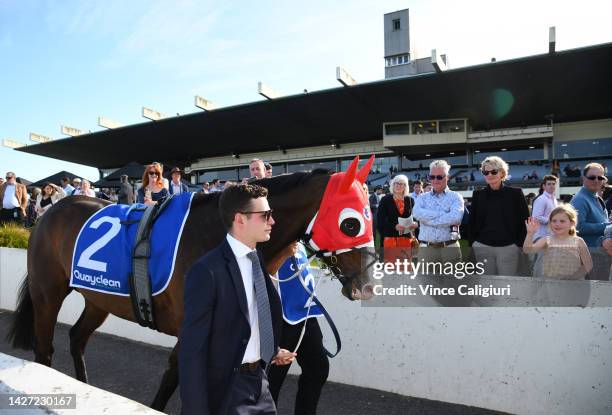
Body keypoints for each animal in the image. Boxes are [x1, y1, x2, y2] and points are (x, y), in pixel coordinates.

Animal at [7, 158, 376, 412]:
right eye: (351, 223)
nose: (368, 286)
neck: (215, 234)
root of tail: (49, 213)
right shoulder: (195, 323)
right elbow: (180, 373)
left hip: (99, 299)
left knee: (77, 338)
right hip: (47, 293)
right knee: (45, 349)